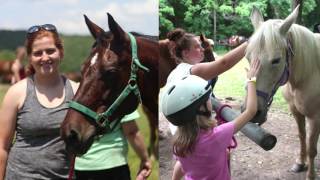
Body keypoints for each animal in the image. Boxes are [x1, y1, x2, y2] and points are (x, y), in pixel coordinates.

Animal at [246, 4, 318, 179]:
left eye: (276, 60)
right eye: (248, 57)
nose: (253, 112)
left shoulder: (315, 117)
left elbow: (312, 148)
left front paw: (311, 175)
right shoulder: (296, 112)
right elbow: (302, 137)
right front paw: (300, 163)